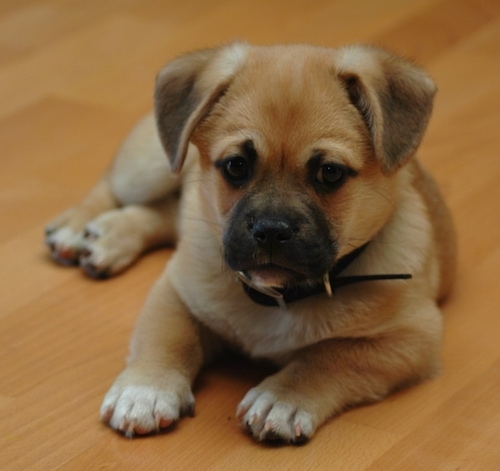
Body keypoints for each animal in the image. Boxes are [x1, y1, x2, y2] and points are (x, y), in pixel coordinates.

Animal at [46, 42, 458, 444]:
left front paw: (283, 398)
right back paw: (78, 229)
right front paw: (145, 389)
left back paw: (112, 235)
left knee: (168, 210)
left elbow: (331, 356)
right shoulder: (177, 291)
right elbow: (166, 337)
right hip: (151, 166)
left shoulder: (411, 338)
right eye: (236, 166)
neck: (277, 296)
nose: (271, 230)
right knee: (117, 185)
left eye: (330, 173)